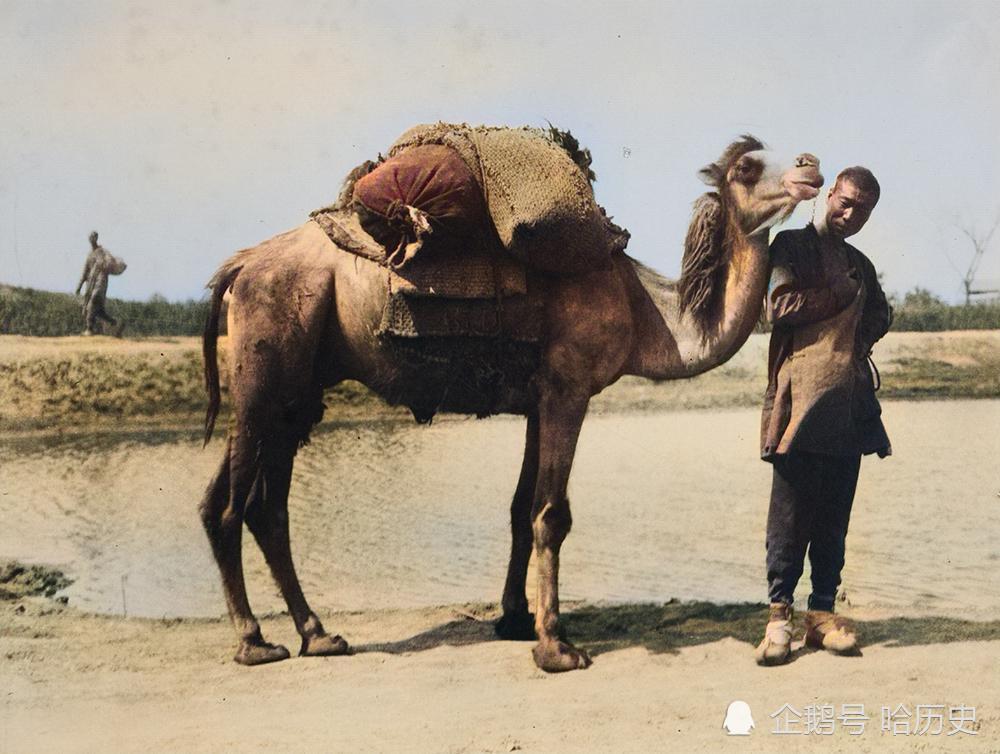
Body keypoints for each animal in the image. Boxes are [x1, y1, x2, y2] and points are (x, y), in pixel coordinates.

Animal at [201, 134, 820, 668]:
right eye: (747, 167)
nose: (811, 165)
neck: (648, 312)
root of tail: (241, 265)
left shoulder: (536, 400)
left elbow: (522, 508)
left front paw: (516, 619)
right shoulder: (570, 387)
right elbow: (551, 513)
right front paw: (556, 647)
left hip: (296, 393)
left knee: (263, 507)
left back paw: (318, 635)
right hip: (265, 371)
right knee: (229, 505)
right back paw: (255, 642)